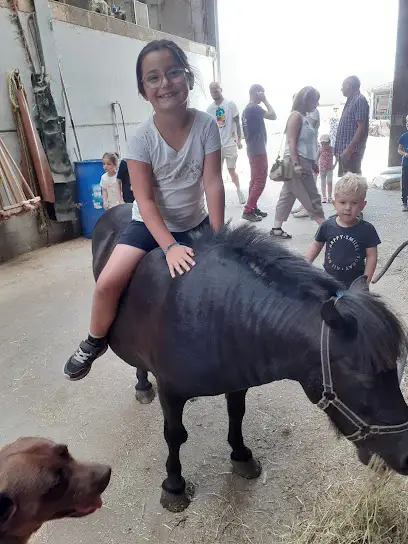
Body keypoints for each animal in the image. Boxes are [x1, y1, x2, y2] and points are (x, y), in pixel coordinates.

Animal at [94, 206, 408, 512]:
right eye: (365, 380)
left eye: (394, 370)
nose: (406, 457)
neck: (216, 312)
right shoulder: (170, 391)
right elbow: (174, 435)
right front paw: (174, 486)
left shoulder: (236, 382)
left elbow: (237, 415)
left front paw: (241, 456)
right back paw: (142, 385)